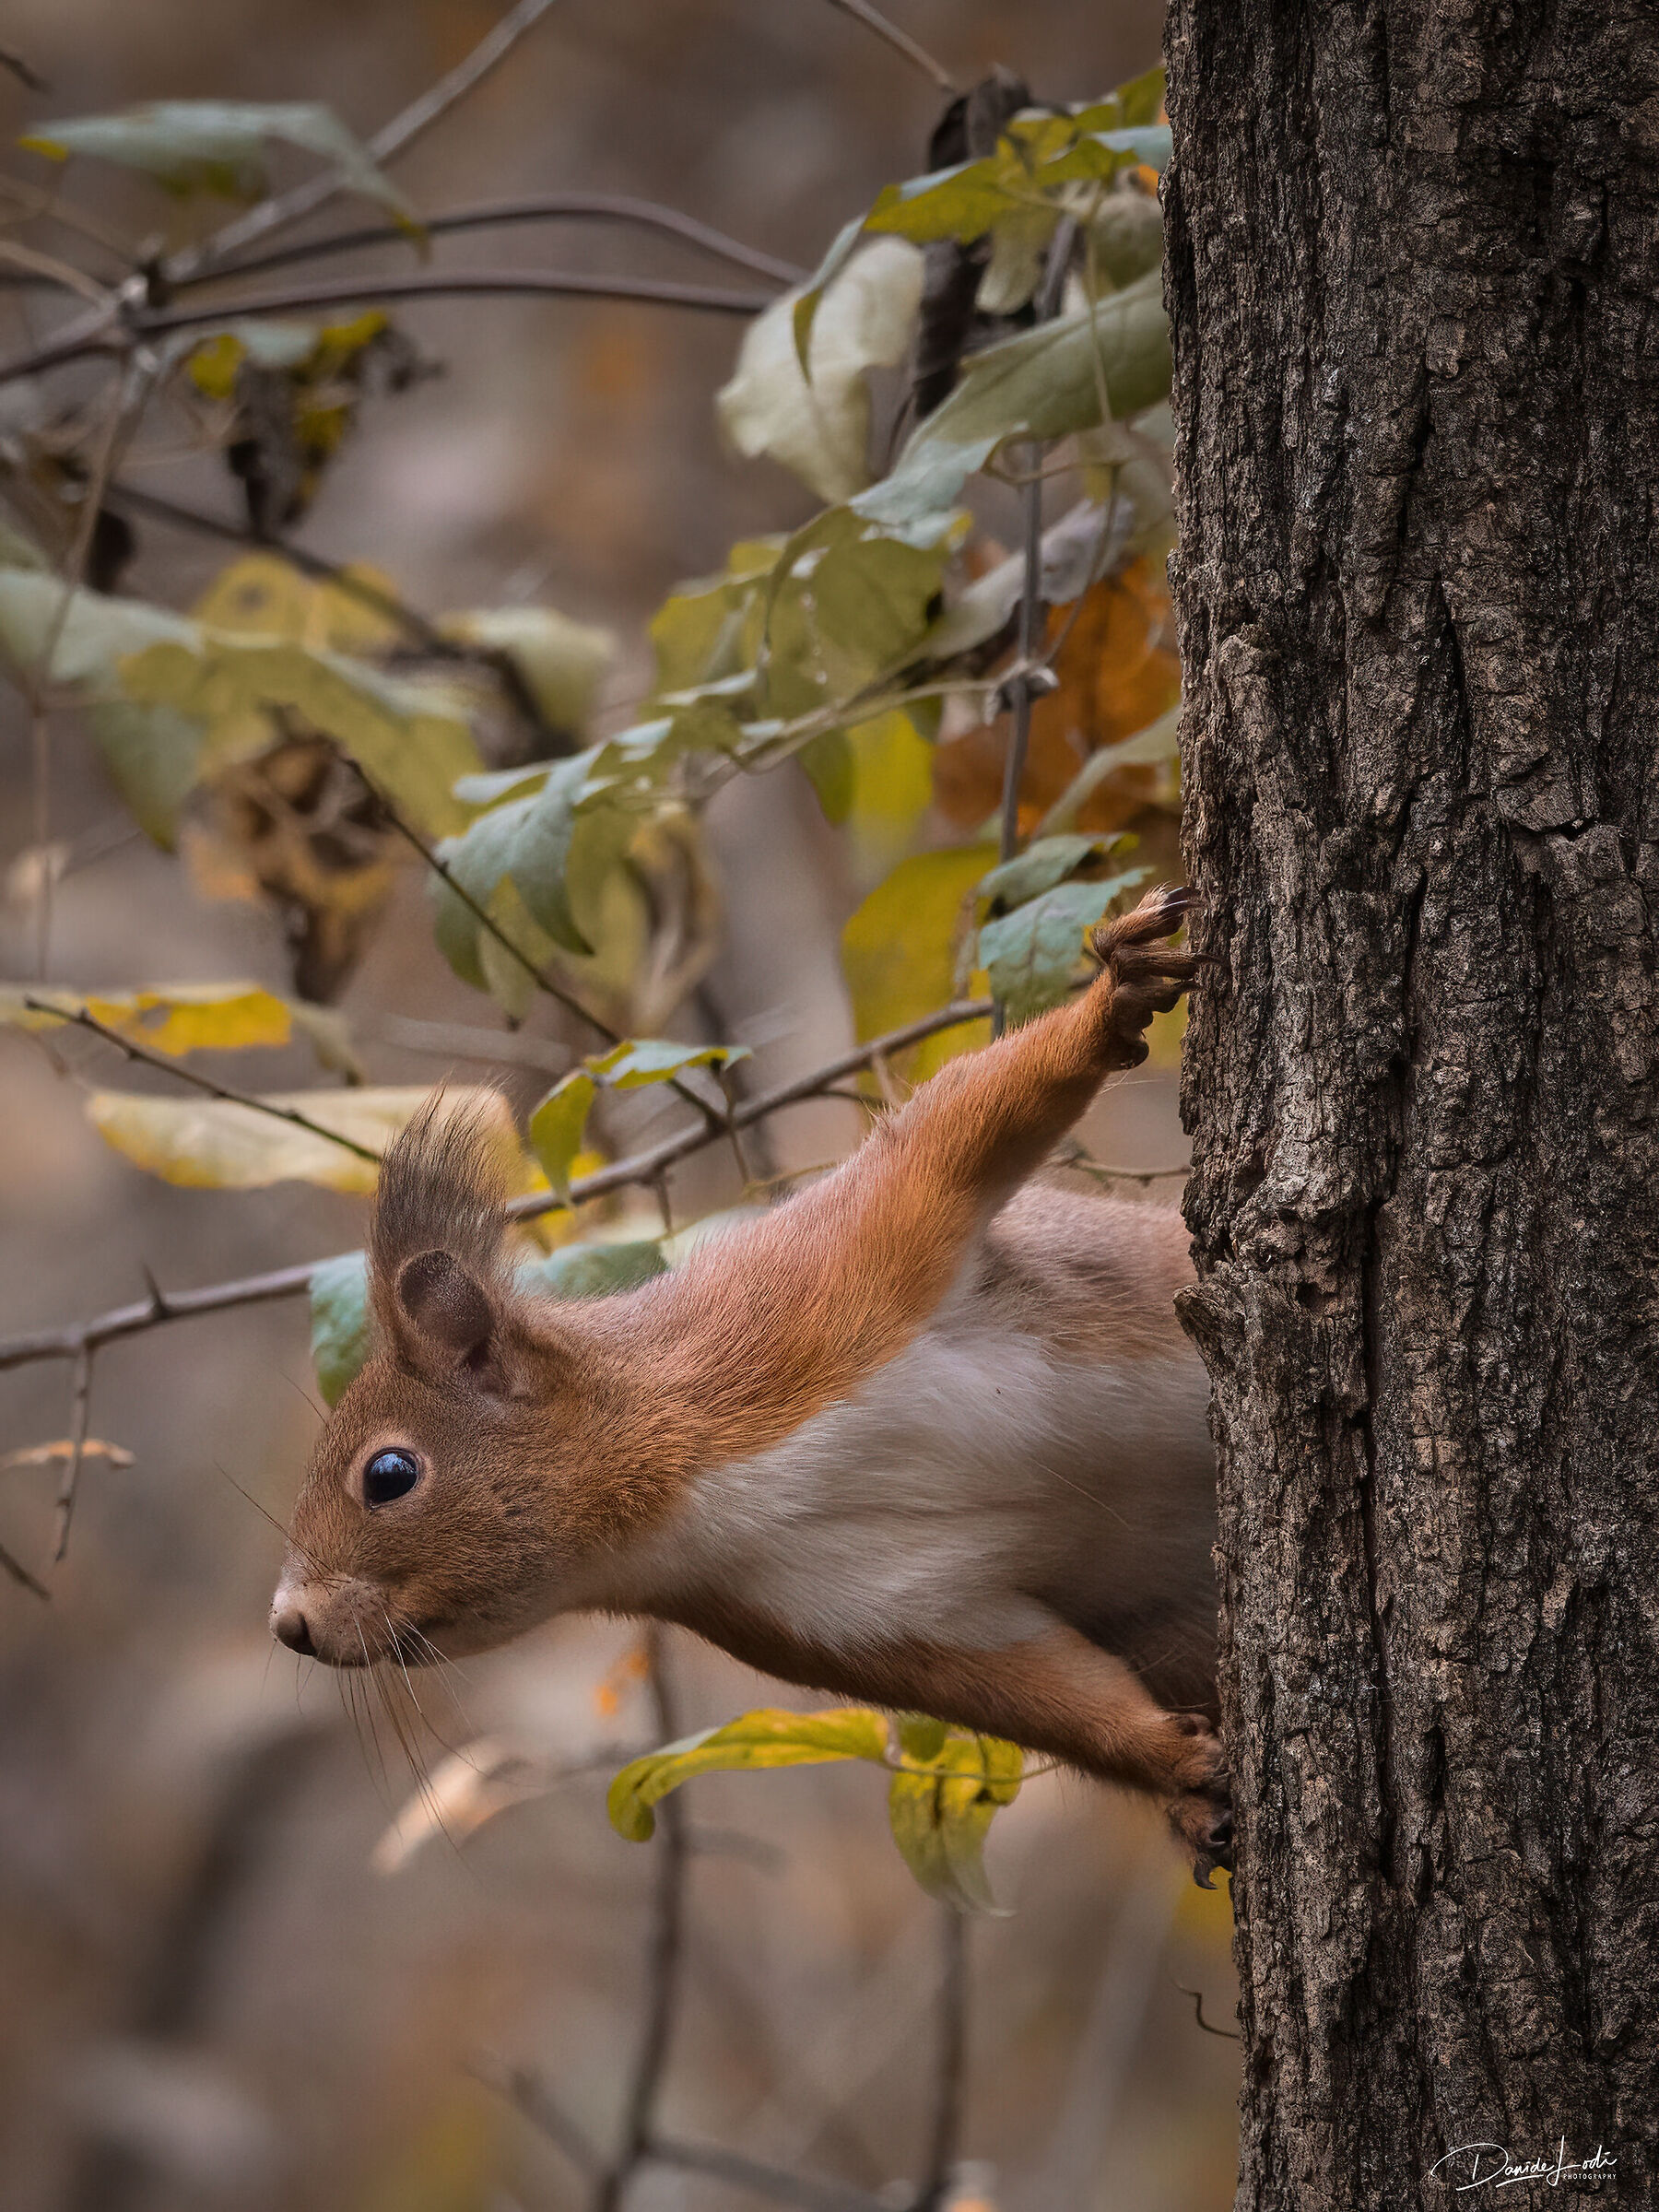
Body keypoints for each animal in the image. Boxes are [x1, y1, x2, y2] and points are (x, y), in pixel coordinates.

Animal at [271, 884, 1231, 1880]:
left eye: (389, 1475)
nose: (289, 1624)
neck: (694, 1499)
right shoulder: (867, 1625)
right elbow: (1044, 1697)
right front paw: (1178, 1769)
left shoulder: (829, 1276)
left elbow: (961, 1126)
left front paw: (1117, 993)